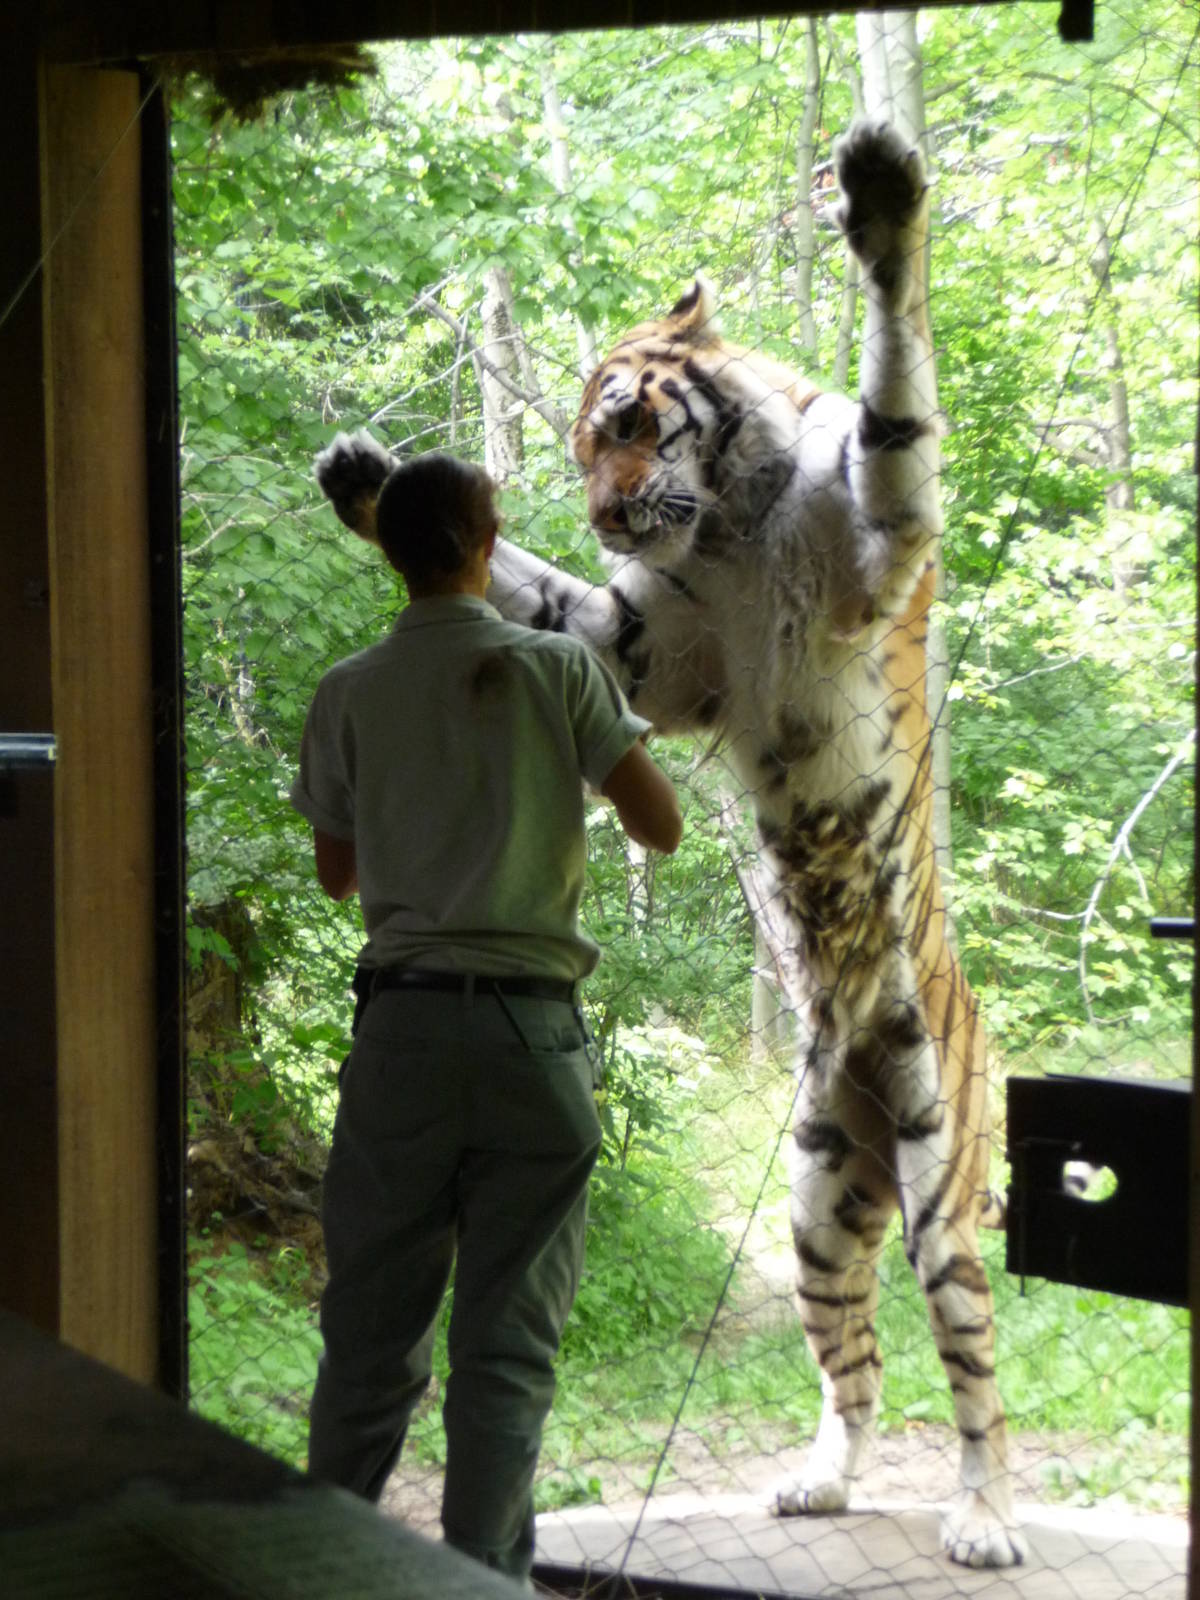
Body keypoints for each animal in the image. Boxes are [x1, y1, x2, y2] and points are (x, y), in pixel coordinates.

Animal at [312, 119, 1027, 1569]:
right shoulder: (647, 649)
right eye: (585, 456)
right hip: (817, 1204)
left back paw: (982, 1520)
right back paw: (818, 1483)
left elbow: (898, 402)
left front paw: (883, 202)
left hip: (940, 1190)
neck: (731, 523)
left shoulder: (879, 535)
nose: (601, 510)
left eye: (629, 426)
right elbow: (538, 595)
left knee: (975, 1377)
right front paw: (371, 485)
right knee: (857, 1368)